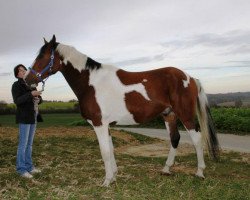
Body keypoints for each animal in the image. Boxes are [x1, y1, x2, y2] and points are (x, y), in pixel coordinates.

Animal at [24, 35, 219, 187]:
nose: (27, 79)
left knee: (197, 139)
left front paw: (106, 181)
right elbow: (110, 150)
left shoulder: (99, 124)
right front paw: (114, 176)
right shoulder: (107, 125)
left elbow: (104, 152)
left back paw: (199, 172)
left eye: (43, 56)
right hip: (169, 115)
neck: (91, 83)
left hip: (185, 115)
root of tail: (190, 78)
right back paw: (166, 169)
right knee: (175, 139)